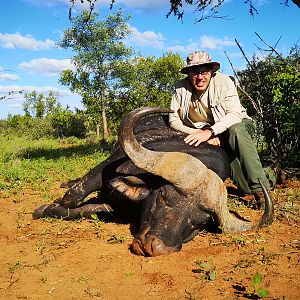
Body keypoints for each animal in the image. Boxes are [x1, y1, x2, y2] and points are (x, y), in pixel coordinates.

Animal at [33, 106, 274, 256]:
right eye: (163, 197)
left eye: (198, 223)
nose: (155, 247)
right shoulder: (108, 165)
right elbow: (72, 197)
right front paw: (45, 208)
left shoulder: (112, 205)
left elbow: (85, 210)